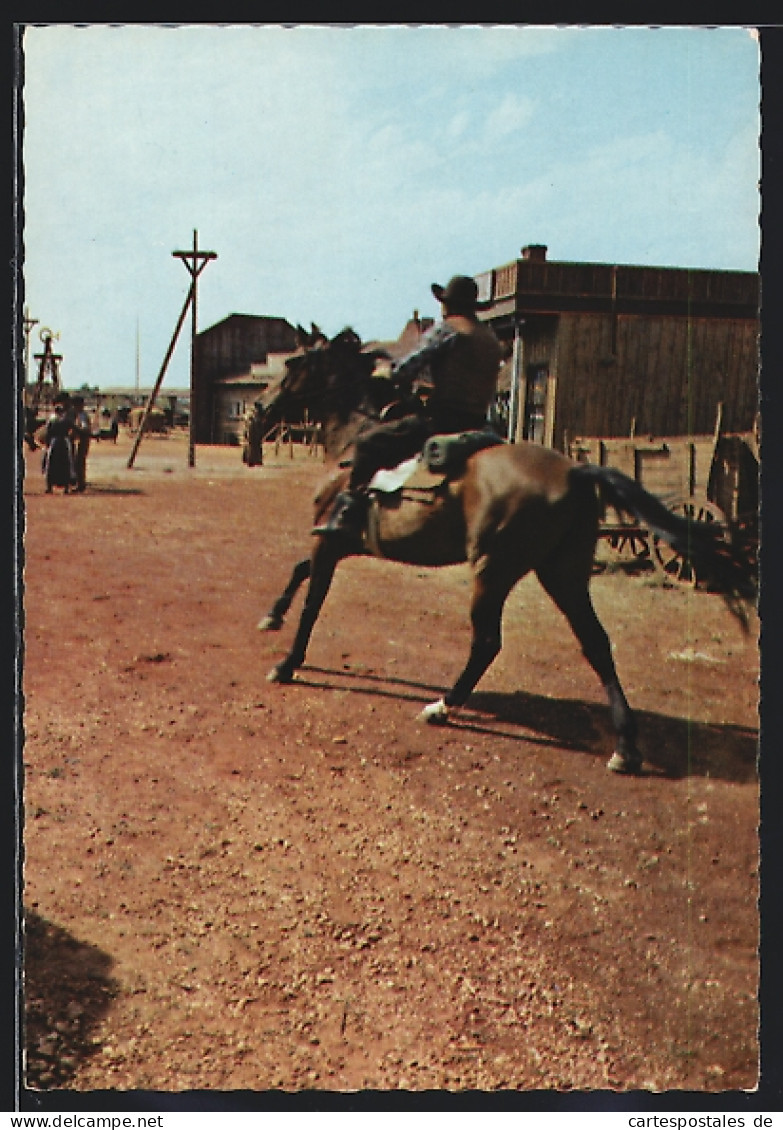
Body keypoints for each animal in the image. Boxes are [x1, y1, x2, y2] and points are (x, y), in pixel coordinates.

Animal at [259, 323, 754, 772]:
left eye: (294, 363)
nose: (262, 406)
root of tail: (574, 471)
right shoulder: (340, 543)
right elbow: (300, 571)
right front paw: (273, 615)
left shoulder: (329, 541)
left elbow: (313, 602)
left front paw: (288, 664)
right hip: (563, 574)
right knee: (595, 642)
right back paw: (625, 747)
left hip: (493, 571)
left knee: (487, 641)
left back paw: (443, 706)